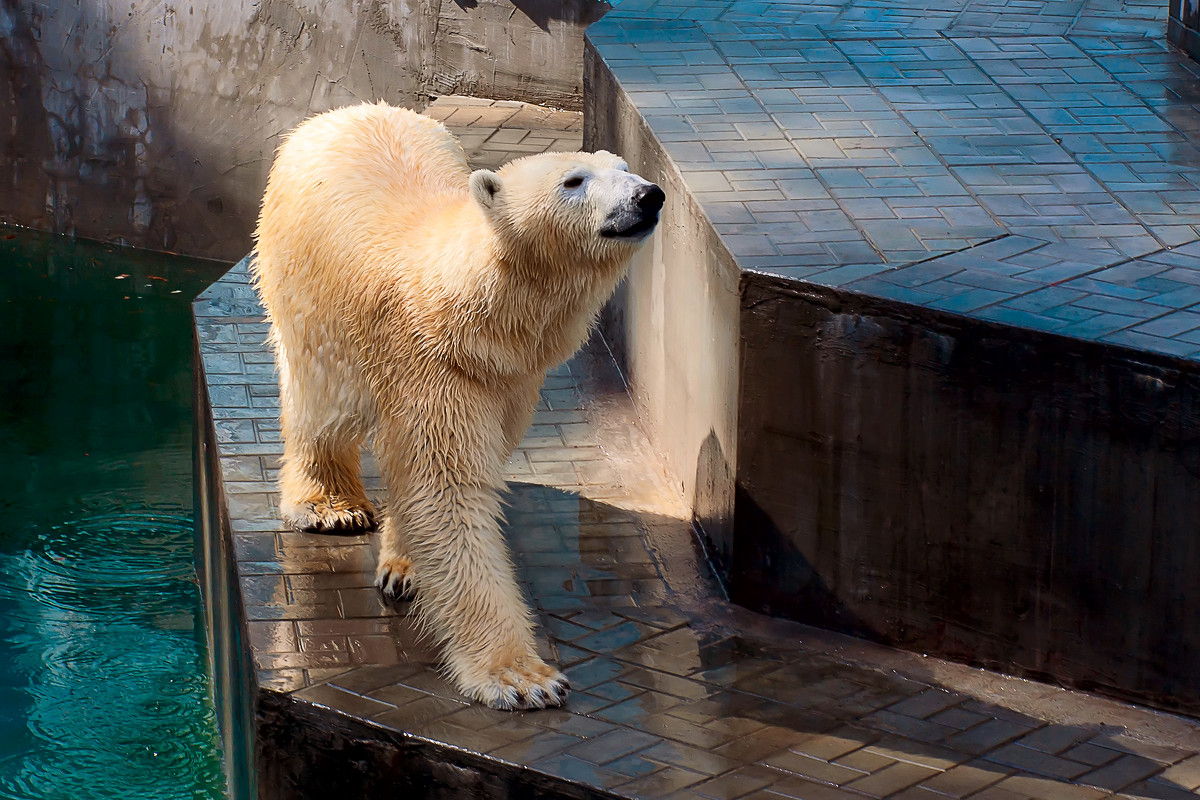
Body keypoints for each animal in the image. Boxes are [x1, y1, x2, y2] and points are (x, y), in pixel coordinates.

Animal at [254, 103, 667, 710]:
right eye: (573, 181)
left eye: (623, 167)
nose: (649, 195)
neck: (469, 303)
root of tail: (342, 112)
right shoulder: (433, 363)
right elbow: (448, 487)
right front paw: (521, 677)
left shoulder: (507, 378)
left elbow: (443, 475)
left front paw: (405, 567)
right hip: (303, 286)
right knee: (320, 400)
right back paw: (329, 504)